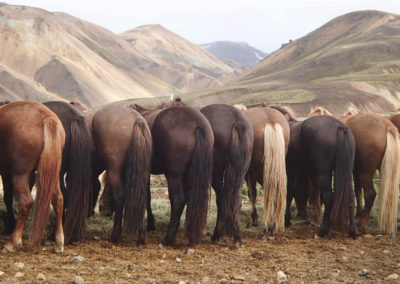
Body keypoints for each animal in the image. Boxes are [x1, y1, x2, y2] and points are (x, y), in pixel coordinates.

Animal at [0, 101, 65, 252]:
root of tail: (46, 117)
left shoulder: (7, 173)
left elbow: (8, 198)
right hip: (53, 174)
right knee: (58, 199)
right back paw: (59, 241)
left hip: (20, 174)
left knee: (26, 203)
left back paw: (13, 241)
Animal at [308, 106, 398, 235]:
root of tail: (386, 125)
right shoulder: (354, 171)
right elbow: (357, 190)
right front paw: (357, 214)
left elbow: (317, 192)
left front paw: (316, 219)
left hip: (366, 174)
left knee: (370, 194)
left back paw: (362, 225)